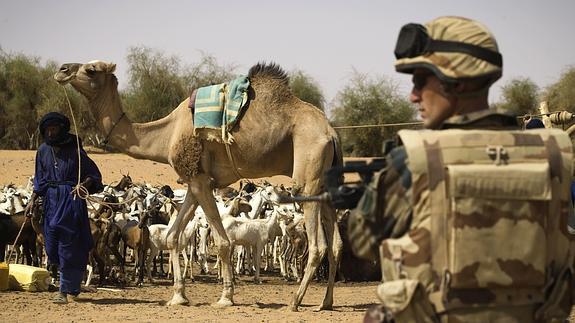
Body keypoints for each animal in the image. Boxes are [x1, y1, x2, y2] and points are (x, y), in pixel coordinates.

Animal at [53, 60, 342, 312]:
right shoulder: (193, 181)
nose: (62, 69)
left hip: (307, 178)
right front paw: (178, 296)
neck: (166, 134)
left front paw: (225, 297)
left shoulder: (203, 182)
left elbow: (223, 242)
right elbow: (172, 237)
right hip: (326, 181)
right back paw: (325, 303)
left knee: (319, 245)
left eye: (91, 69)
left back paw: (295, 301)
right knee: (336, 244)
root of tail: (331, 132)